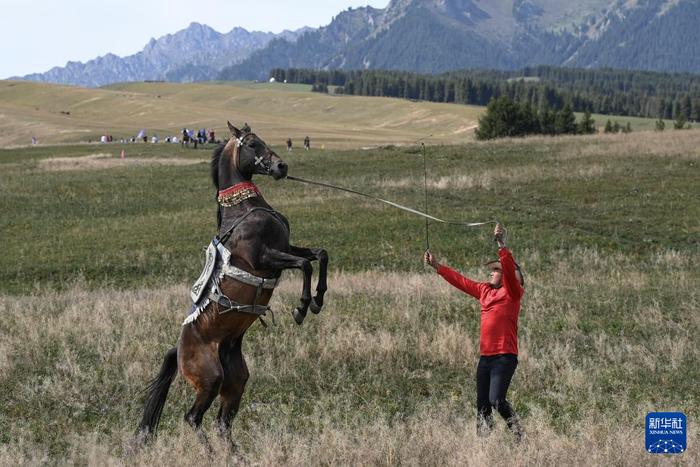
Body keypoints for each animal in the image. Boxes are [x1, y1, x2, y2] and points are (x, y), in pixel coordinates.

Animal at [139, 122, 330, 448]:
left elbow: (320, 254)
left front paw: (318, 298)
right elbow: (305, 265)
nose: (281, 166)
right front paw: (303, 307)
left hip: (236, 381)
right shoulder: (265, 257)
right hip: (210, 379)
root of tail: (179, 350)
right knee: (193, 418)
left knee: (222, 422)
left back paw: (235, 453)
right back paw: (211, 452)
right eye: (252, 144)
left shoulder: (286, 248)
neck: (244, 211)